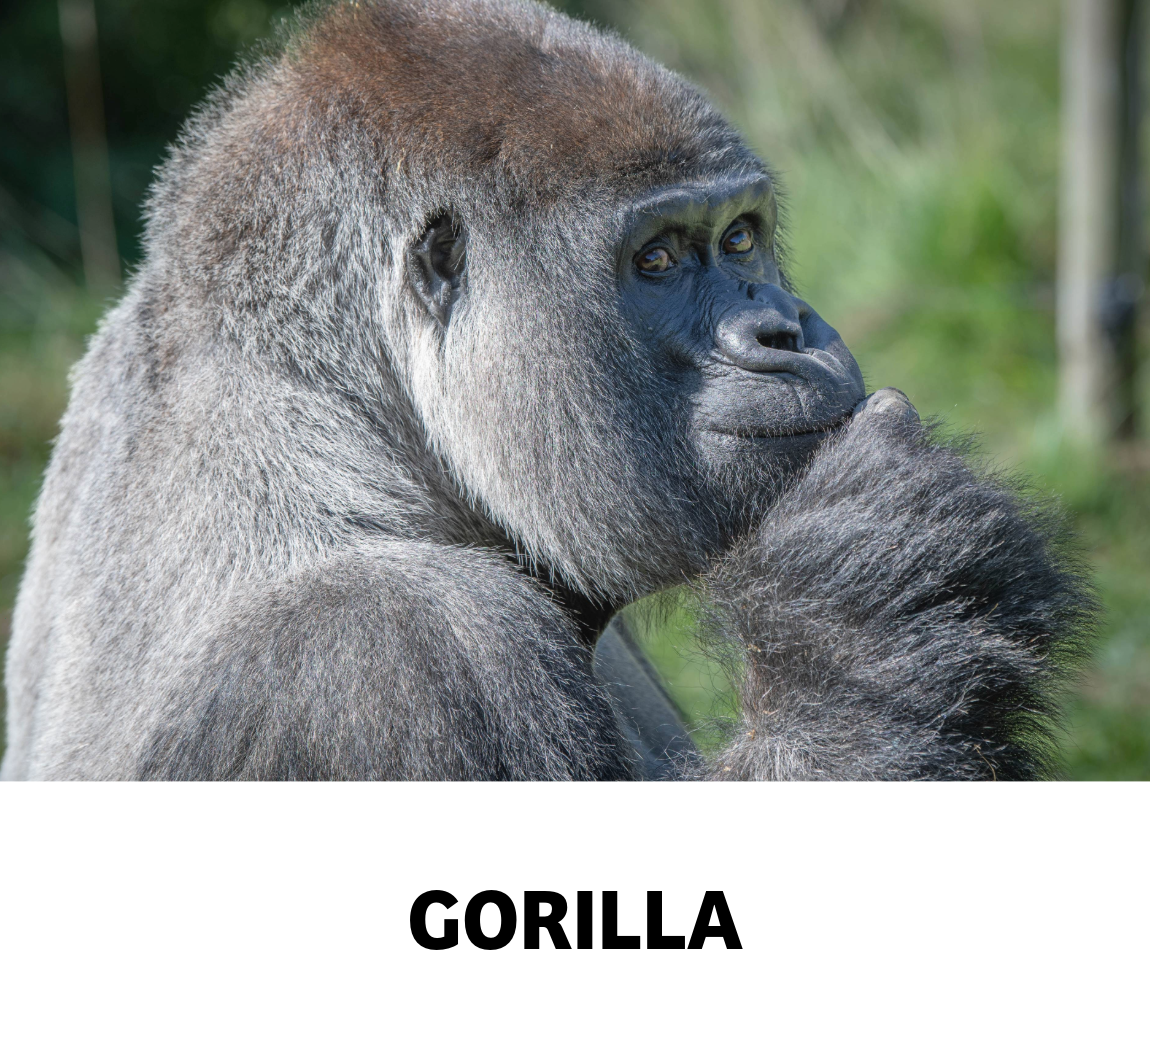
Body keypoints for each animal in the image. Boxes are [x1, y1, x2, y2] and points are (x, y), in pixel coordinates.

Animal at [0, 0, 1093, 780]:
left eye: (740, 238)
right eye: (659, 260)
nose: (787, 331)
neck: (332, 418)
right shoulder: (386, 651)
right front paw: (872, 588)